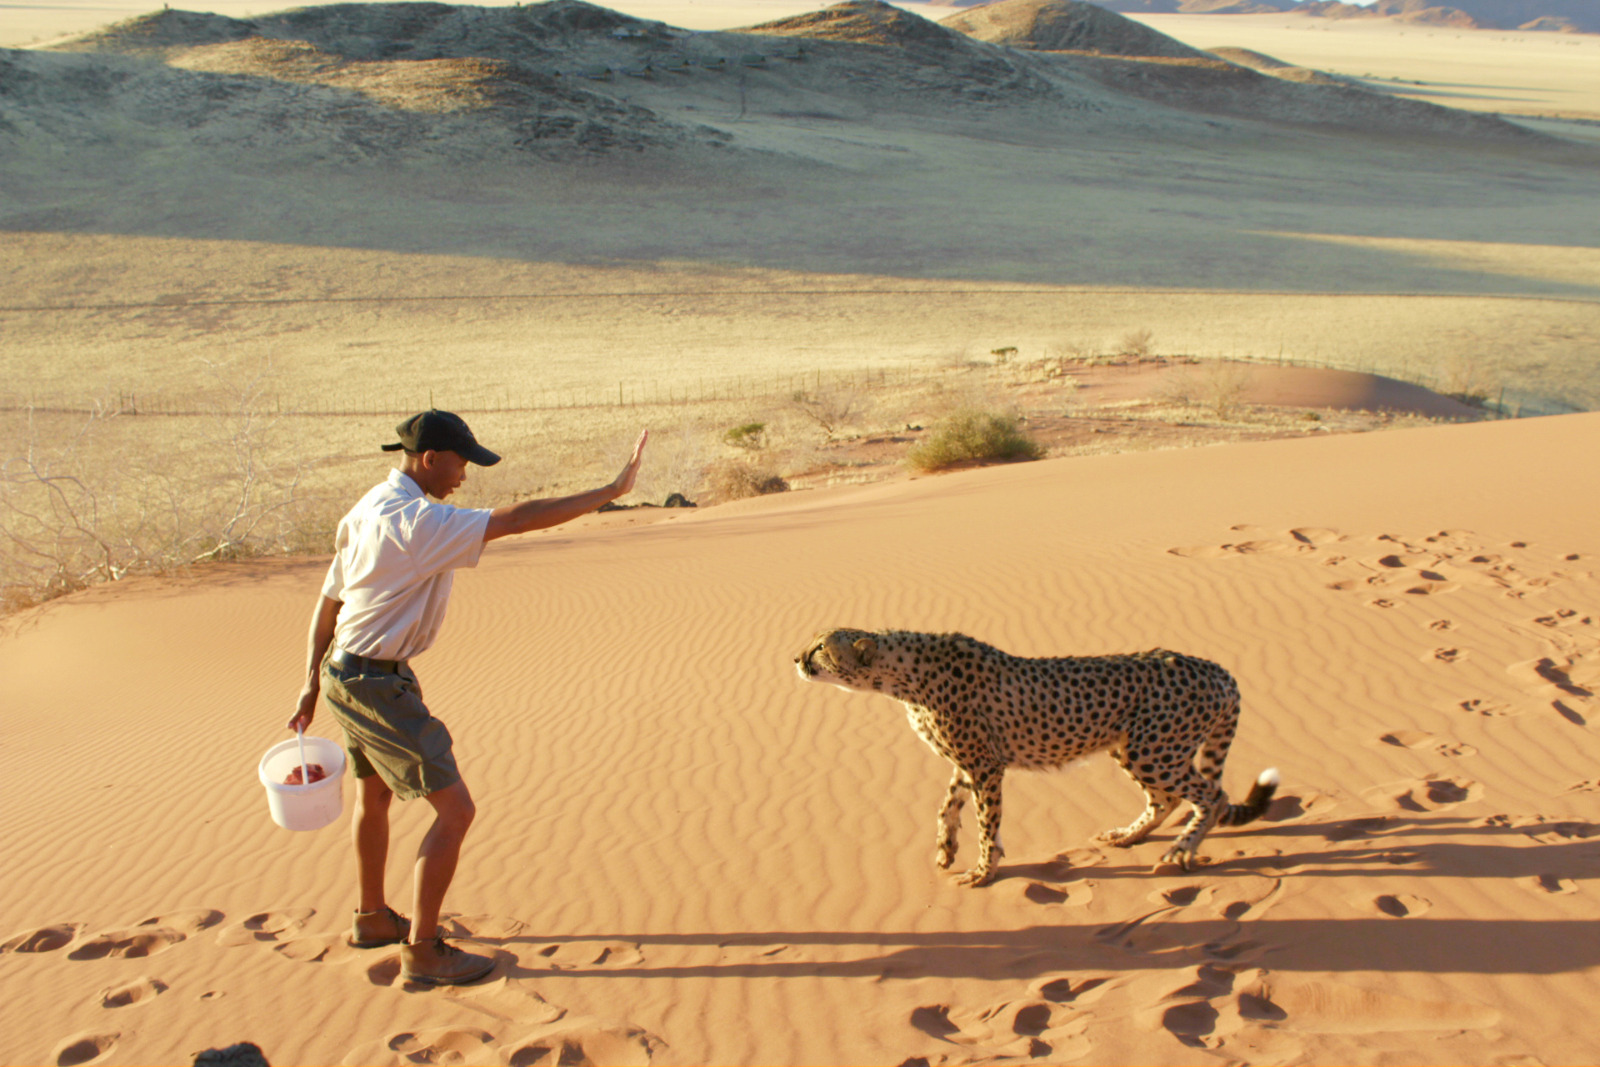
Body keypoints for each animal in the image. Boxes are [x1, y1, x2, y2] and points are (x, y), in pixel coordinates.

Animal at [794, 627, 1279, 887]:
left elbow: (986, 822)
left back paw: (1180, 851)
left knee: (1211, 795)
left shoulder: (985, 766)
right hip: (1131, 747)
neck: (901, 675)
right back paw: (1127, 836)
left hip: (1154, 750)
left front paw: (983, 871)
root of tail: (1217, 669)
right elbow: (947, 806)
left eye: (820, 647)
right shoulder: (970, 763)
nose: (795, 658)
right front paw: (946, 849)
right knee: (1167, 799)